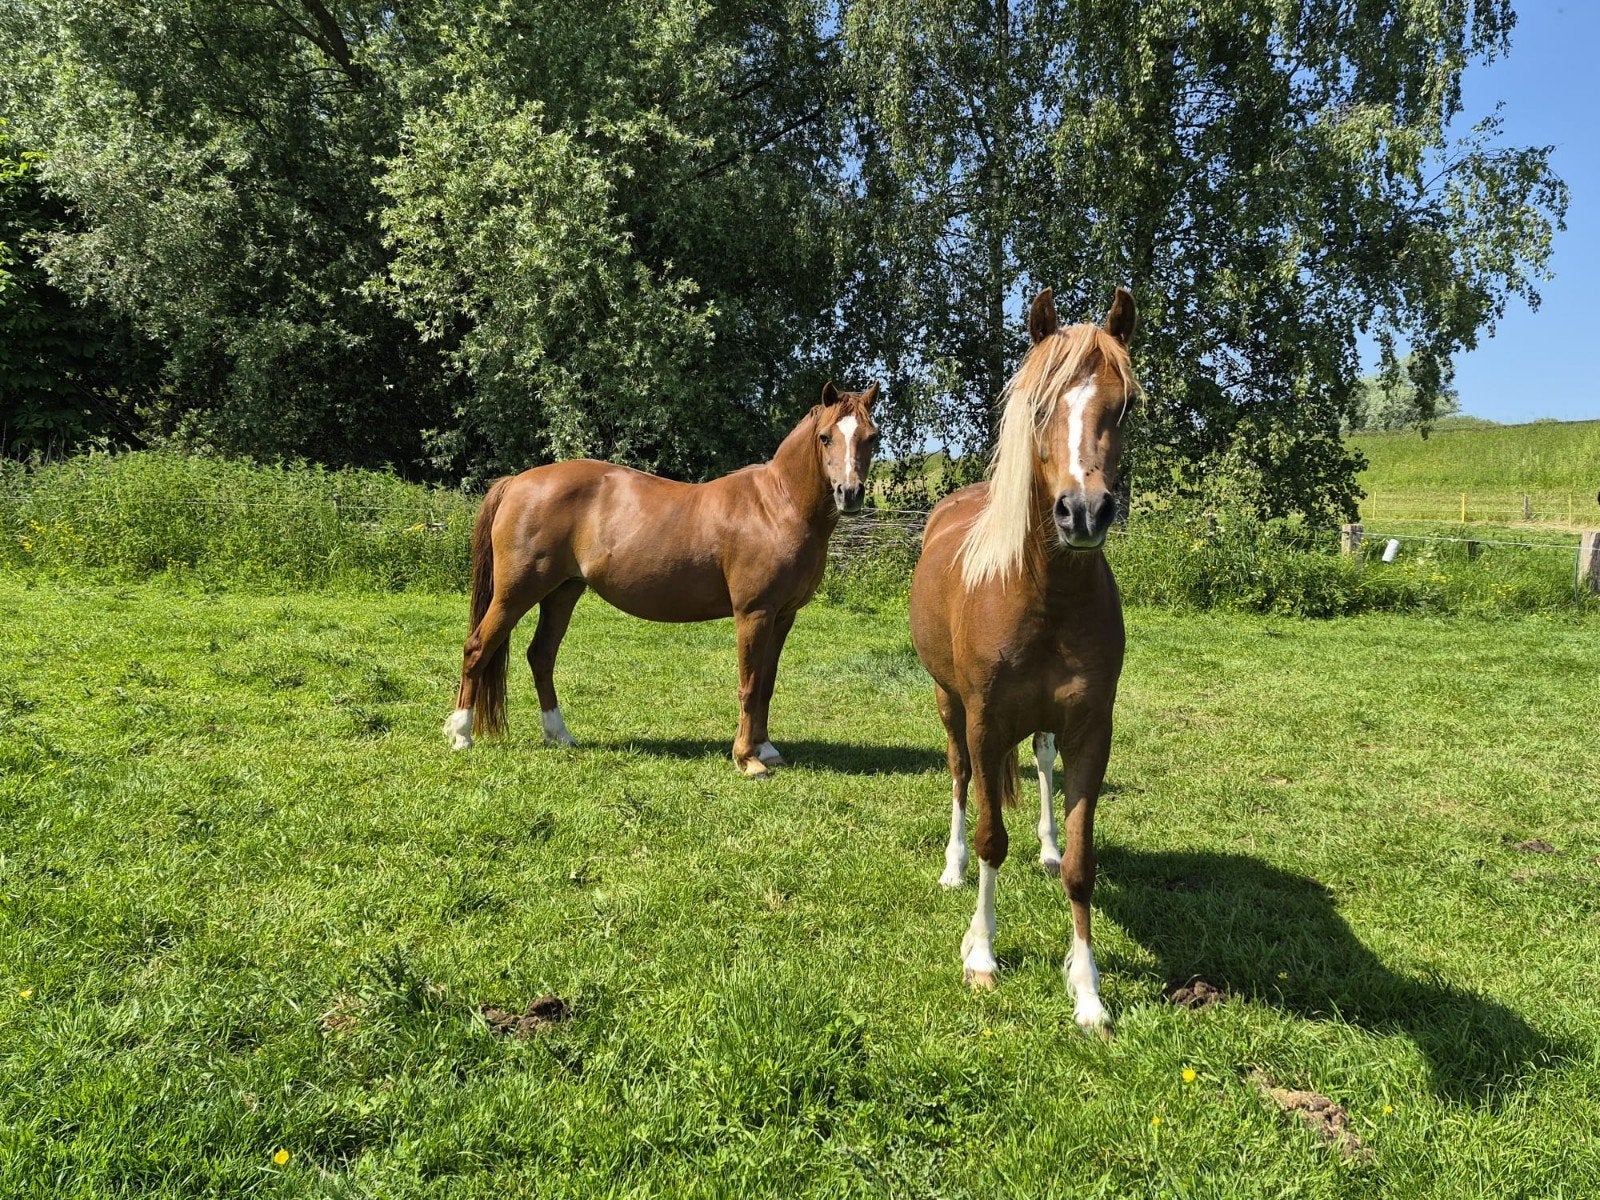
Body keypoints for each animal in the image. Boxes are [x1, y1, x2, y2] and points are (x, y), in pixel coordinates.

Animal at [444, 382, 881, 777]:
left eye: (871, 437)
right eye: (825, 437)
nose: (850, 494)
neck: (777, 506)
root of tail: (516, 482)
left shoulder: (783, 616)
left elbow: (766, 685)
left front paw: (767, 749)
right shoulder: (754, 613)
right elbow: (749, 683)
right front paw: (747, 759)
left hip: (562, 592)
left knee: (541, 655)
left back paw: (560, 735)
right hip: (515, 593)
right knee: (478, 648)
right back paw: (461, 734)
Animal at [909, 287, 1138, 1029]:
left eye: (1125, 406)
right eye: (1039, 405)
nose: (1083, 512)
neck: (1044, 595)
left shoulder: (1092, 729)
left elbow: (1081, 864)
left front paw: (1088, 991)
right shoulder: (985, 723)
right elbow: (990, 838)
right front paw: (981, 954)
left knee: (1039, 765)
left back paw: (1043, 846)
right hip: (950, 705)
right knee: (959, 779)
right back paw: (952, 869)